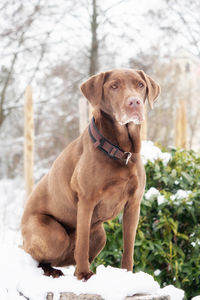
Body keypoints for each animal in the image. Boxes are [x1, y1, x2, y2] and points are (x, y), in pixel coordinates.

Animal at [21, 69, 160, 280]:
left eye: (140, 85)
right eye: (114, 86)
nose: (134, 102)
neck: (120, 151)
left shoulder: (134, 204)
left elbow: (128, 246)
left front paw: (127, 274)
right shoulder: (86, 200)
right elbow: (82, 244)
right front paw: (84, 274)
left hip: (100, 235)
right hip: (53, 234)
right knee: (37, 255)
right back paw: (51, 270)